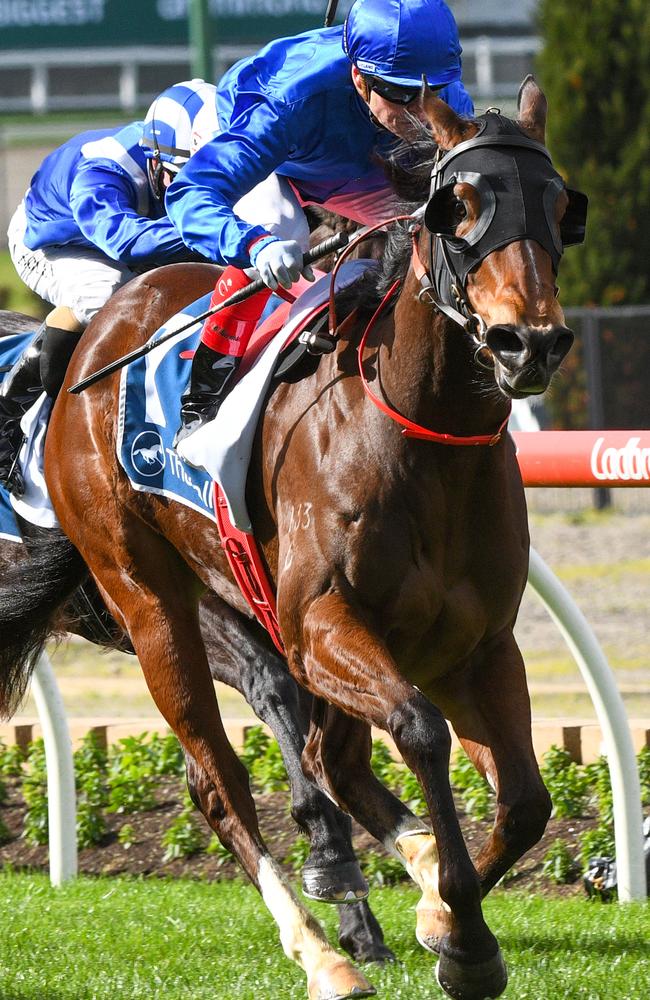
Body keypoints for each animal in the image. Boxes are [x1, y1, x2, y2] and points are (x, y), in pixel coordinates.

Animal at [0, 80, 584, 1000]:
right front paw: (455, 930)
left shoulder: (476, 644)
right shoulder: (317, 626)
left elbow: (524, 801)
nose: (529, 341)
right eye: (457, 205)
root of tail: (97, 338)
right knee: (219, 783)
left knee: (326, 757)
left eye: (562, 205)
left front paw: (443, 919)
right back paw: (322, 954)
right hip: (148, 600)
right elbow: (417, 732)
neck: (423, 437)